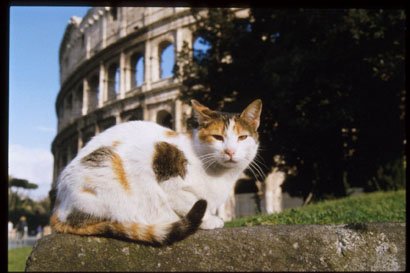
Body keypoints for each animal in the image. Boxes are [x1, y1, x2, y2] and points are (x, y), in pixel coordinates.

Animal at [51, 98, 262, 244]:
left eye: (242, 137)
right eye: (218, 137)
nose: (230, 151)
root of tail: (58, 207)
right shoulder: (169, 181)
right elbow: (189, 201)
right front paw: (210, 220)